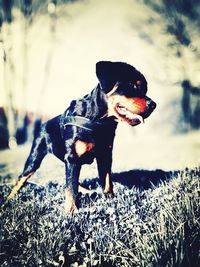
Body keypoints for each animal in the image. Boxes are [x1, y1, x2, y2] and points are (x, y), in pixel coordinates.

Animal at [7, 61, 156, 214]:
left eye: (144, 89)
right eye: (132, 84)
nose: (153, 105)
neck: (99, 121)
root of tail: (44, 123)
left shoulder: (105, 155)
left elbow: (107, 181)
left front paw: (111, 200)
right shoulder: (72, 158)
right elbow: (71, 188)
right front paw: (71, 212)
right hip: (34, 158)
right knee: (22, 178)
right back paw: (8, 200)